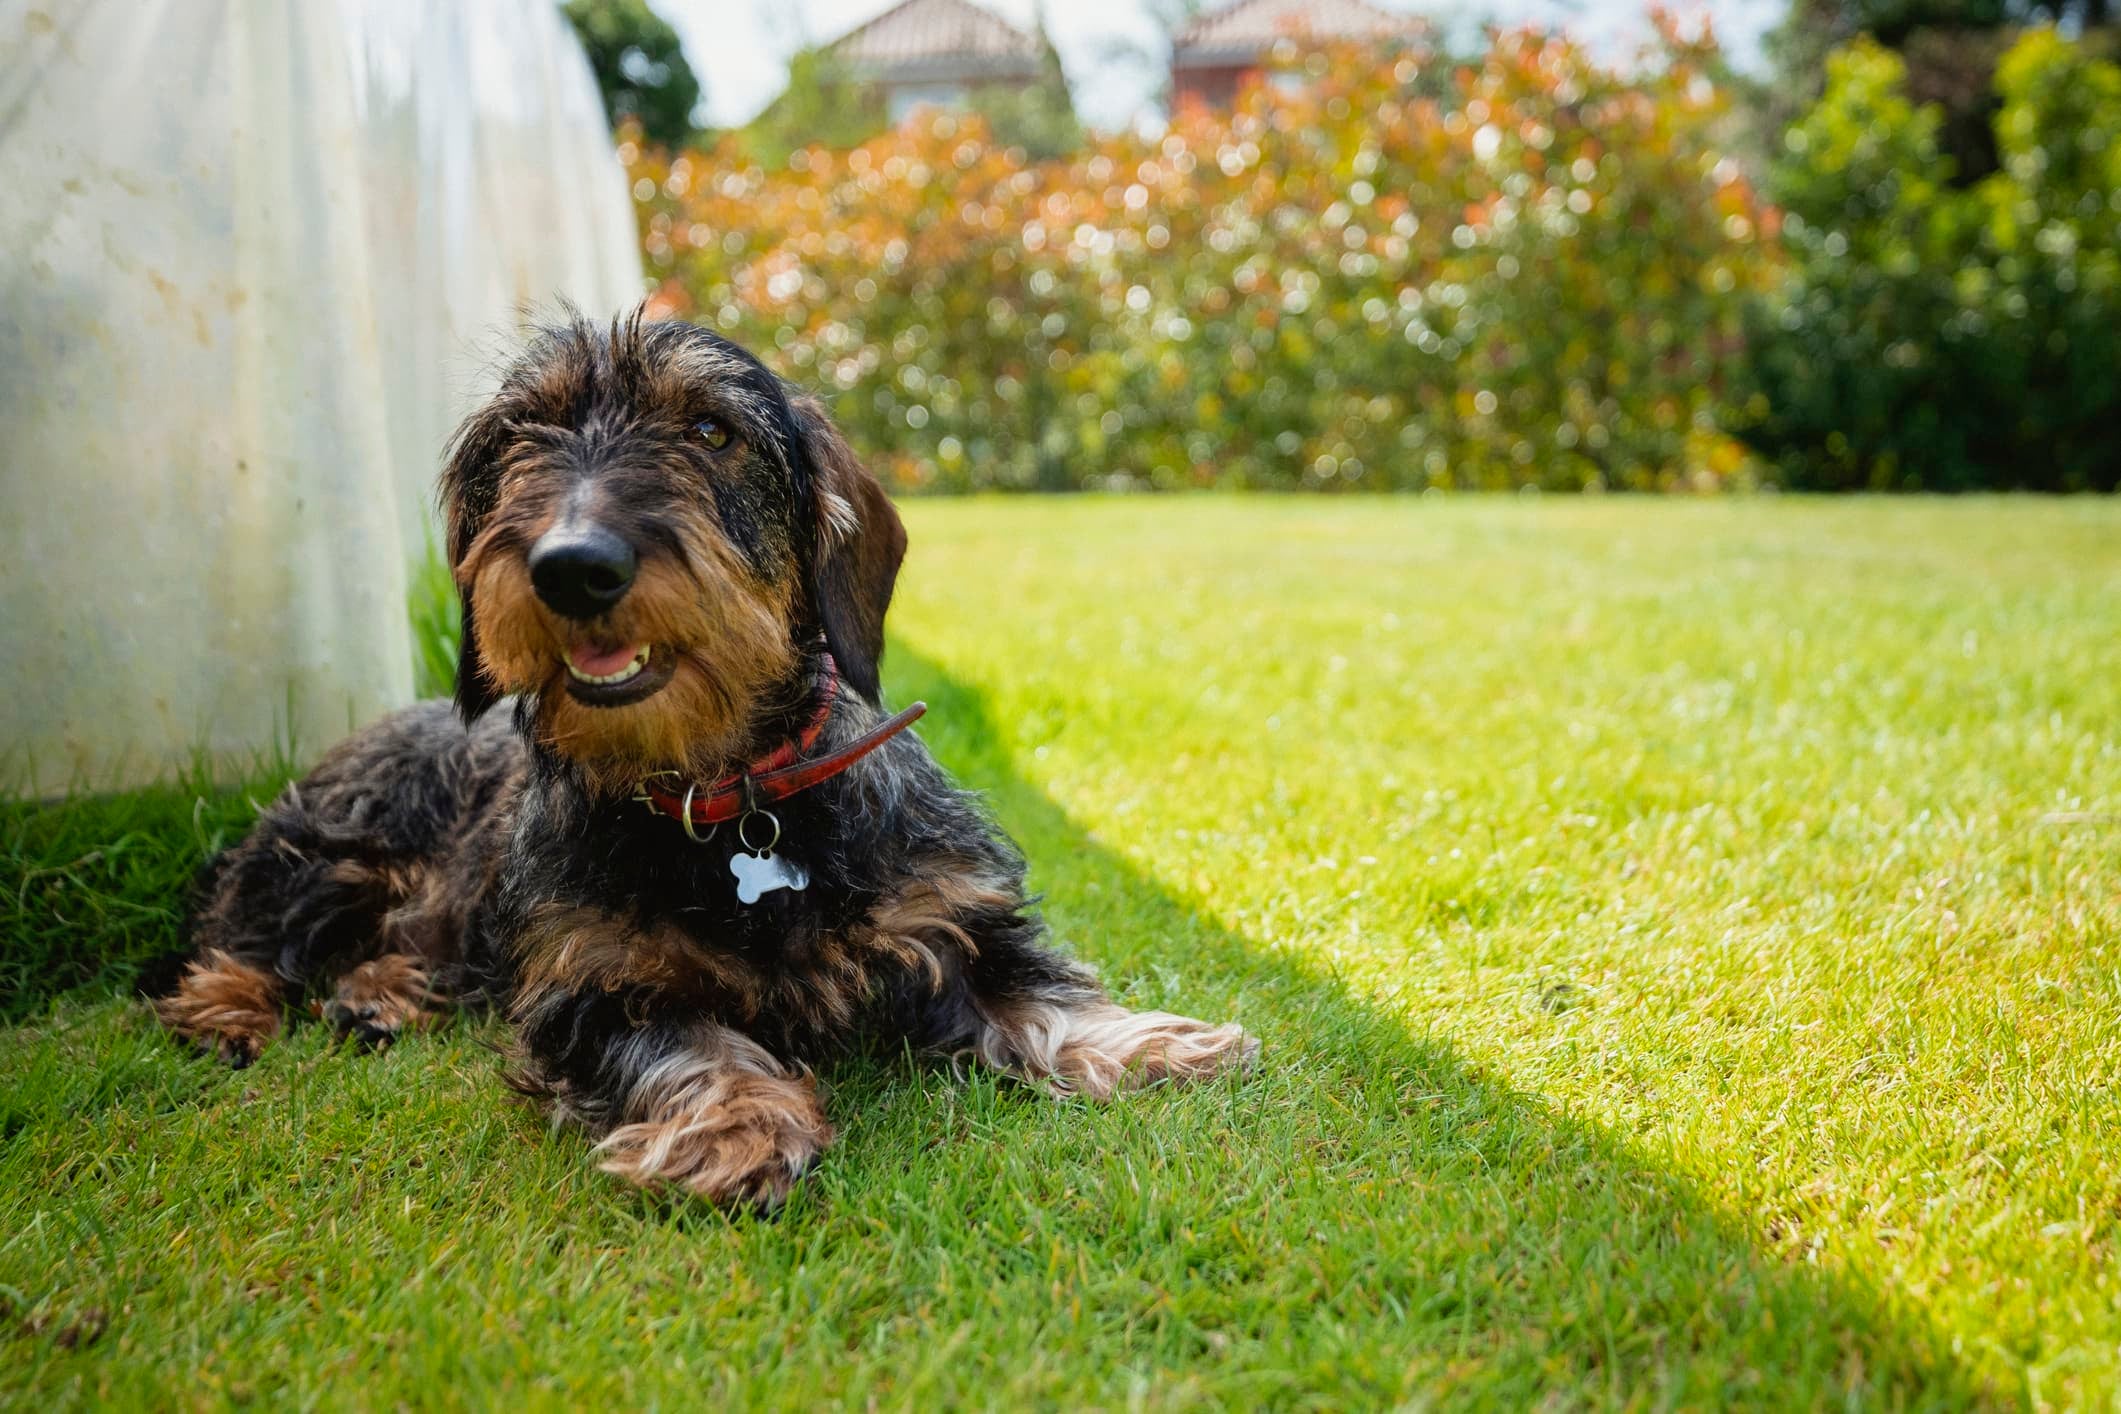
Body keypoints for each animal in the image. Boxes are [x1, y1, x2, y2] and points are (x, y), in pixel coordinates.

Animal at [165, 315, 1255, 1212]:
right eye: (519, 438)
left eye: (710, 431)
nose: (572, 566)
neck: (731, 799)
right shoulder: (593, 989)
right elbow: (693, 1046)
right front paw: (735, 1126)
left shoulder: (954, 918)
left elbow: (1043, 996)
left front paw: (1153, 1042)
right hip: (329, 848)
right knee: (244, 932)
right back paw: (224, 1011)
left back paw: (378, 993)